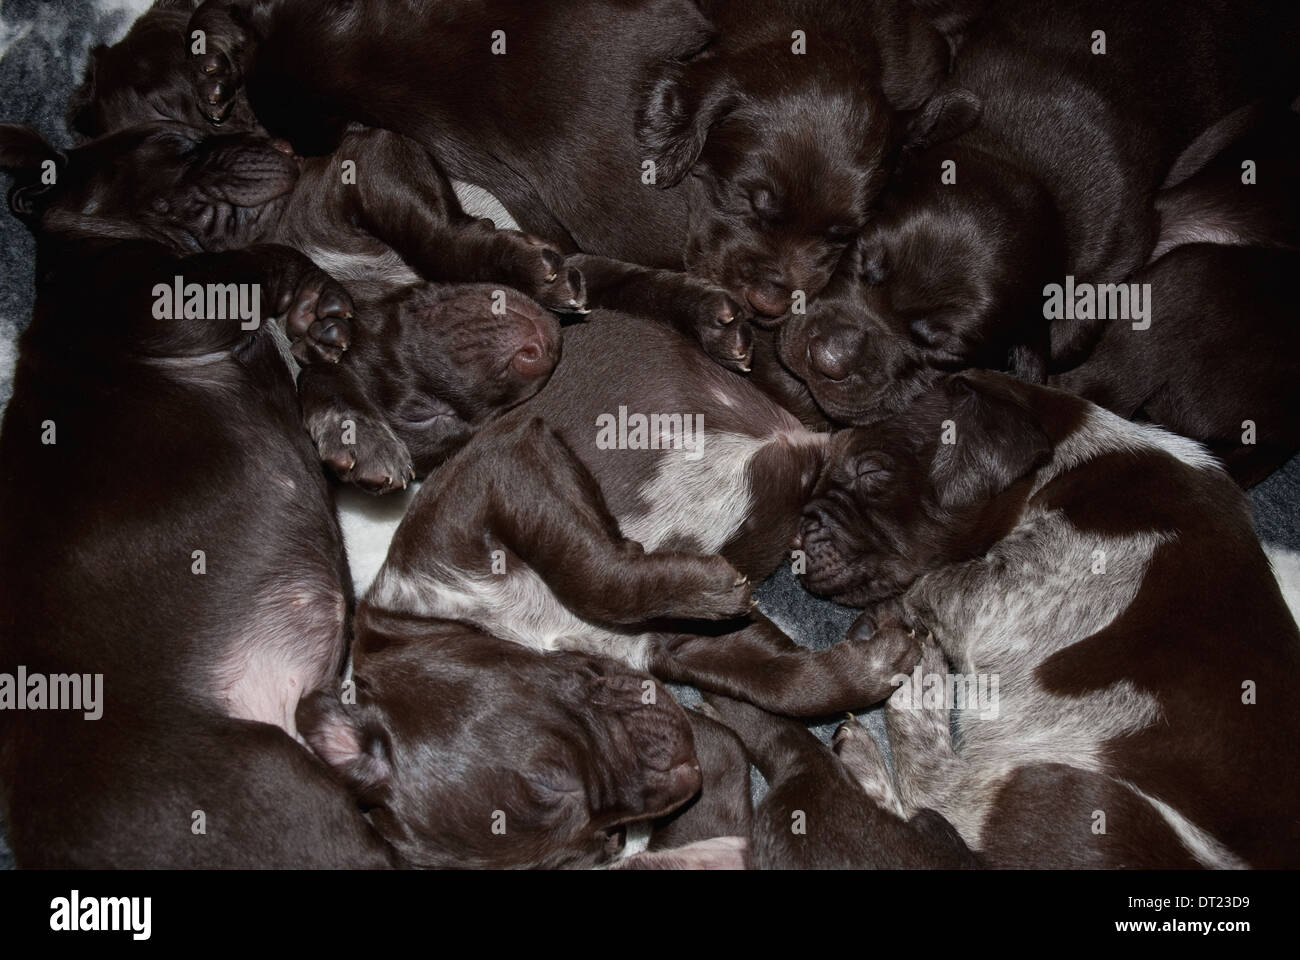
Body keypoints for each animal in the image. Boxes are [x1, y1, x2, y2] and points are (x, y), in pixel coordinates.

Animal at [795, 369, 1300, 863]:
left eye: (872, 471)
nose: (798, 533)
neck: (1062, 467)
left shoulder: (1001, 595)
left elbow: (933, 582)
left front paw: (893, 623)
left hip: (1077, 803)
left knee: (940, 797)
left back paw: (911, 688)